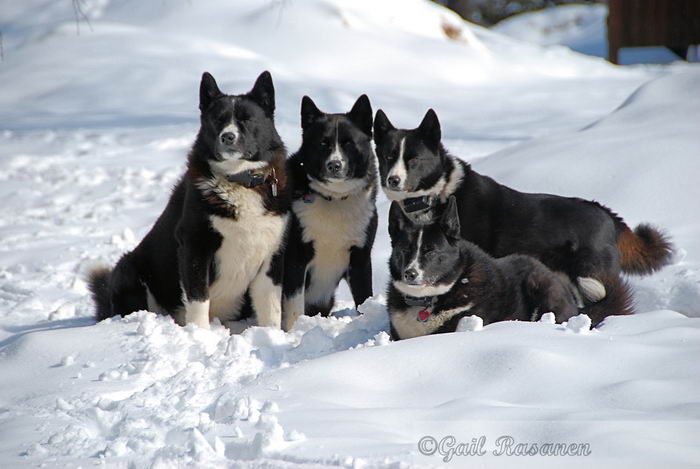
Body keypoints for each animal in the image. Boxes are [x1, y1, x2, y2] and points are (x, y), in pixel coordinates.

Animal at [88, 72, 290, 330]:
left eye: (247, 119)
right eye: (218, 120)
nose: (228, 137)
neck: (238, 179)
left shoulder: (271, 253)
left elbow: (270, 308)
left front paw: (273, 334)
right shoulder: (194, 245)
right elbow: (198, 298)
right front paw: (200, 334)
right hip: (129, 270)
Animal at [282, 94, 378, 330]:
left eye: (349, 143)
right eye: (323, 144)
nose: (334, 165)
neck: (334, 198)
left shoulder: (360, 257)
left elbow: (364, 299)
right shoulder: (295, 256)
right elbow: (294, 306)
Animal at [372, 109, 672, 314]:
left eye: (413, 159)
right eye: (388, 156)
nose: (392, 180)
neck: (435, 195)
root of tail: (607, 214)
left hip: (592, 274)